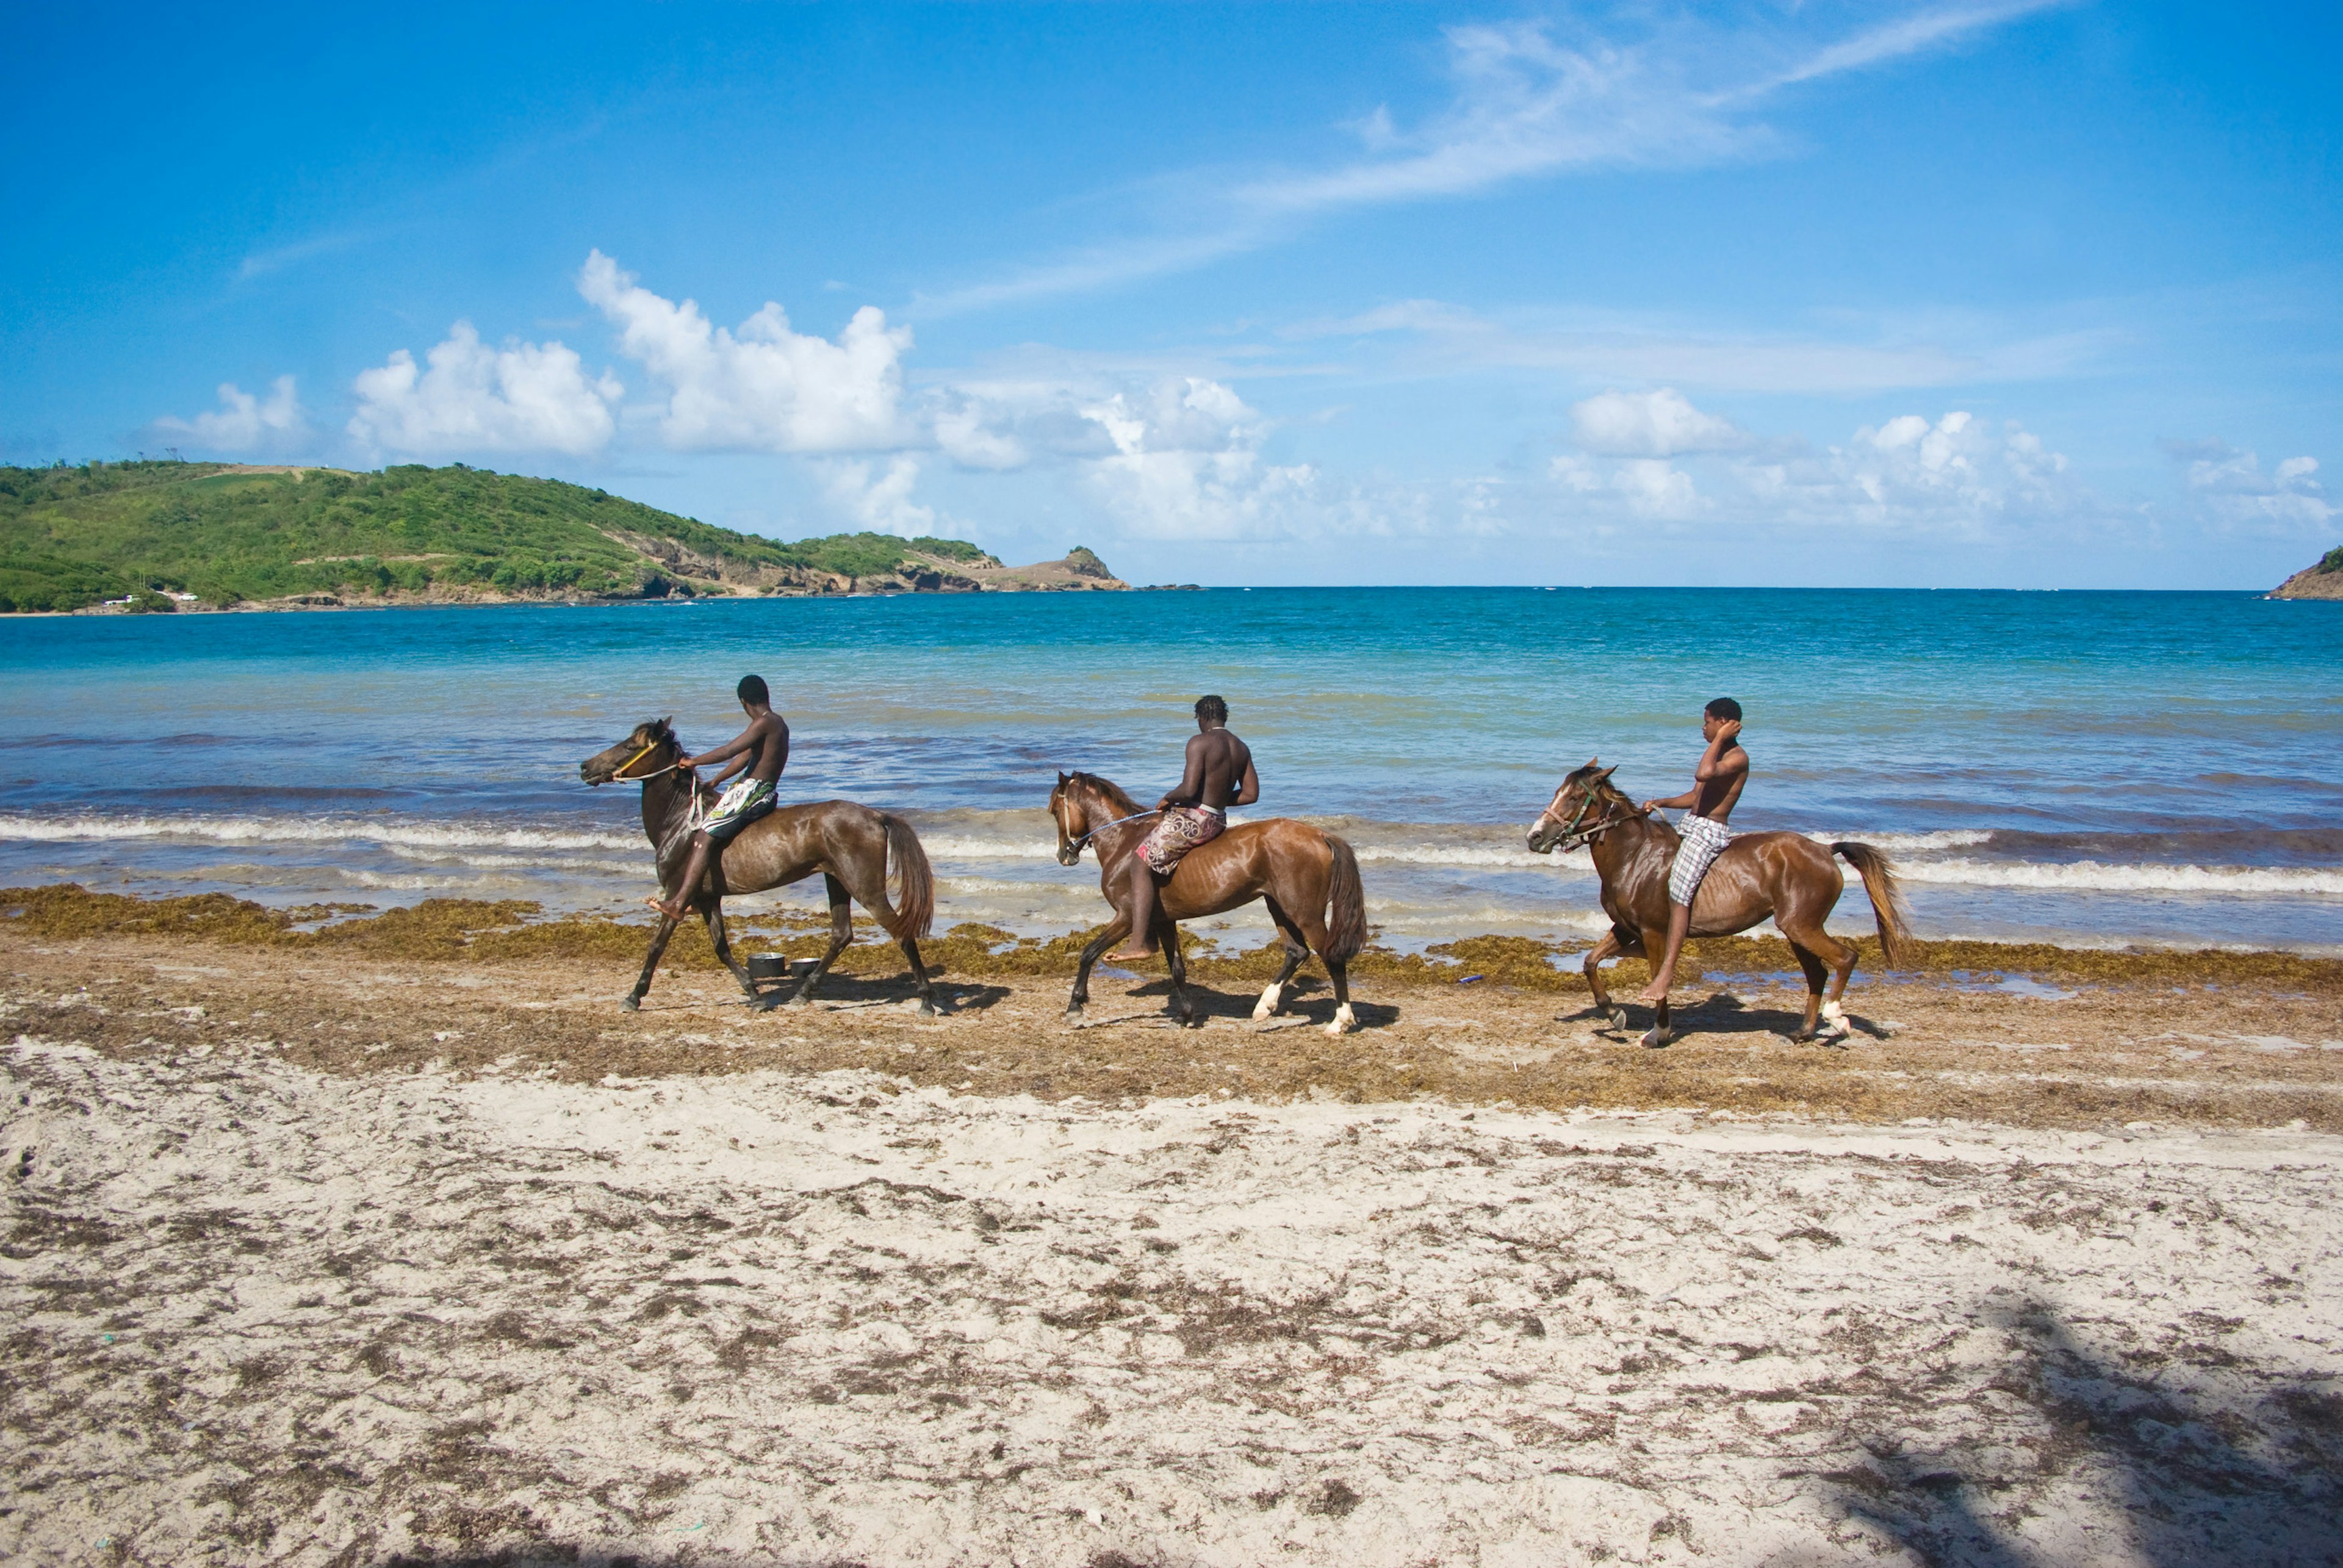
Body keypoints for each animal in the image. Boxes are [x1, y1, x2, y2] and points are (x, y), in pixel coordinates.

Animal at [581, 717, 937, 1017]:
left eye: (631, 746)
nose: (585, 767)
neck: (682, 823)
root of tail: (876, 815)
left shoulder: (677, 895)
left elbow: (657, 946)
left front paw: (634, 997)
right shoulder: (708, 898)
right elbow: (721, 948)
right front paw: (754, 994)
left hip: (865, 887)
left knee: (900, 932)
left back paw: (926, 1001)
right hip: (836, 881)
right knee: (841, 935)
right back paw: (803, 994)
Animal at [1049, 769, 1368, 1031]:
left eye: (1053, 811)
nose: (1064, 855)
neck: (1124, 841)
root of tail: (1320, 834)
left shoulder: (1127, 917)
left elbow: (1088, 954)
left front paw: (1075, 1007)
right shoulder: (1165, 921)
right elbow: (1177, 969)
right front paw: (1187, 1016)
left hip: (1305, 914)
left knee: (1330, 956)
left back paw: (1340, 1021)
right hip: (1279, 906)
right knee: (1297, 952)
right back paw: (1264, 1007)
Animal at [1537, 754, 1902, 1045]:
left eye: (1573, 797)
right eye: (1558, 793)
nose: (1535, 837)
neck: (1635, 857)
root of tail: (1826, 851)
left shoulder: (1655, 932)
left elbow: (1658, 977)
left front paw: (1659, 1032)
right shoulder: (1626, 928)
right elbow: (1591, 962)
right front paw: (1615, 1014)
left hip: (1802, 926)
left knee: (1845, 959)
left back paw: (1836, 1018)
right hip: (1796, 929)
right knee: (1817, 974)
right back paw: (1803, 1032)